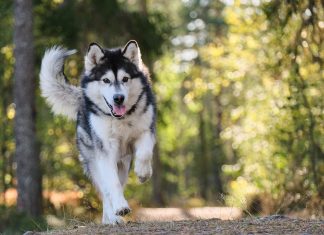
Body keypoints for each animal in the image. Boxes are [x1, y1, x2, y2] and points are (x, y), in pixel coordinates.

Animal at [39, 40, 156, 224]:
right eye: (106, 80)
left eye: (125, 79)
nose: (118, 98)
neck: (121, 119)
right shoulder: (106, 150)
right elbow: (112, 184)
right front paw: (120, 208)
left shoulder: (146, 131)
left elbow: (145, 154)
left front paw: (143, 173)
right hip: (95, 161)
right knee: (107, 190)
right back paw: (111, 217)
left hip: (123, 164)